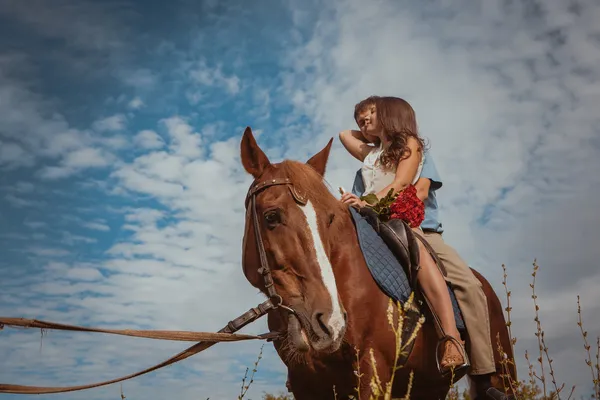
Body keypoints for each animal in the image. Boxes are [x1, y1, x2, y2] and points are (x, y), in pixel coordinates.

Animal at [239, 127, 516, 400]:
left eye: (330, 219)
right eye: (271, 217)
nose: (331, 321)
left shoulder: (373, 369)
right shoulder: (304, 382)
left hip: (502, 375)